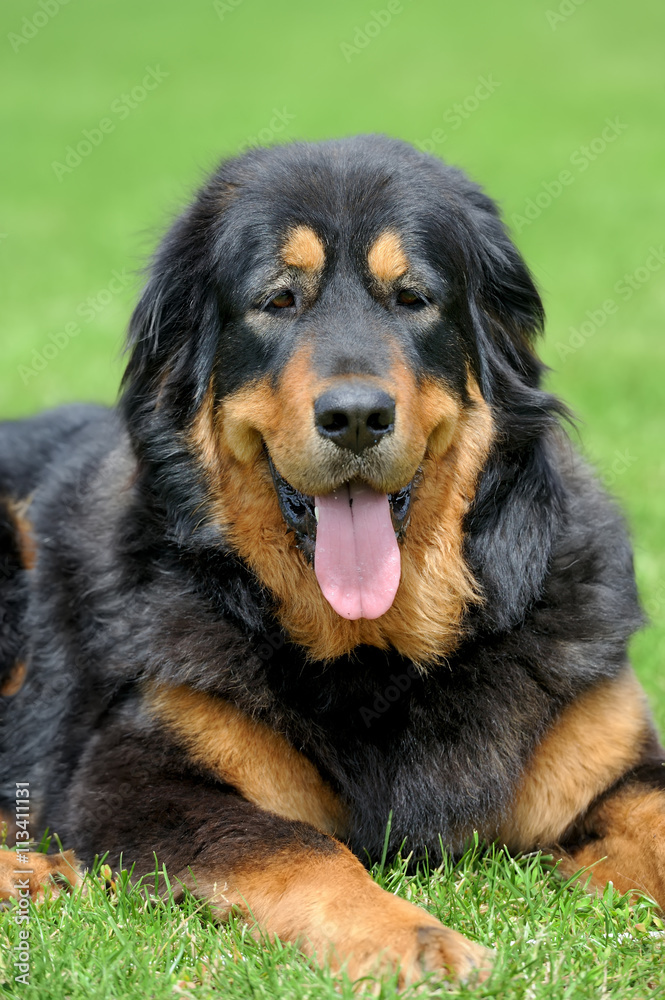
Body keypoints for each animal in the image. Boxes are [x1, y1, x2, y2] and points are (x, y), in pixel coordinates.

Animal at [1, 137, 664, 988]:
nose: (355, 417)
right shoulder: (129, 782)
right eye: (279, 300)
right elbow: (295, 846)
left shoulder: (611, 761)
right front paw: (410, 938)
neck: (384, 656)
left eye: (412, 298)